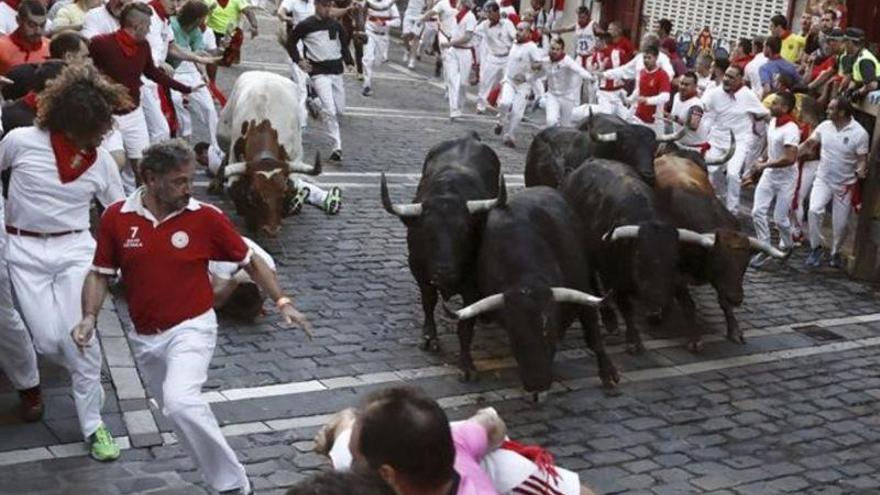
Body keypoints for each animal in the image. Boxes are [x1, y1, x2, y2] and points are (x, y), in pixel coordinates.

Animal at [218, 71, 322, 238]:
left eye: (282, 192)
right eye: (254, 194)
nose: (272, 229)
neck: (263, 124)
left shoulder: (295, 160)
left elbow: (292, 190)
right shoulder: (235, 158)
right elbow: (236, 192)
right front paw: (250, 219)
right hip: (223, 135)